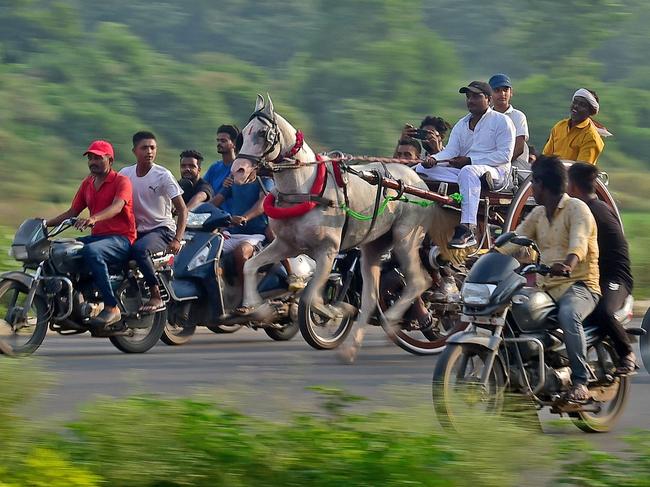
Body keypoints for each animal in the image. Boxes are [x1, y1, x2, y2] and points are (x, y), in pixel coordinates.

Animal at [230, 95, 432, 362]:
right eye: (243, 133)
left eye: (263, 133)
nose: (238, 170)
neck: (305, 187)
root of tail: (419, 181)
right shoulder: (286, 244)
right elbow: (251, 266)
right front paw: (259, 309)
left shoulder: (327, 250)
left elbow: (309, 297)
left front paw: (335, 311)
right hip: (374, 245)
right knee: (370, 297)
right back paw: (351, 348)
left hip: (405, 238)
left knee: (419, 281)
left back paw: (390, 320)